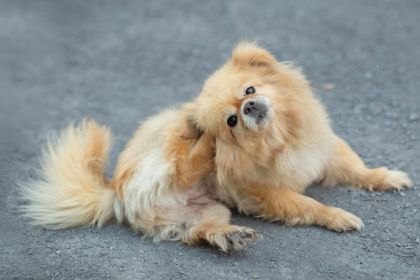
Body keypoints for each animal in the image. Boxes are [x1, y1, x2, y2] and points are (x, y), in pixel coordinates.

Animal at [21, 43, 412, 252]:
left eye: (250, 90)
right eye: (231, 121)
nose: (249, 107)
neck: (280, 140)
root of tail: (115, 193)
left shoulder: (325, 151)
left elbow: (357, 168)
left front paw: (386, 177)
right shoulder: (267, 193)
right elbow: (309, 205)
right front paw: (339, 217)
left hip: (209, 210)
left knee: (197, 232)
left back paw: (230, 236)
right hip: (163, 155)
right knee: (181, 164)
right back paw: (206, 147)